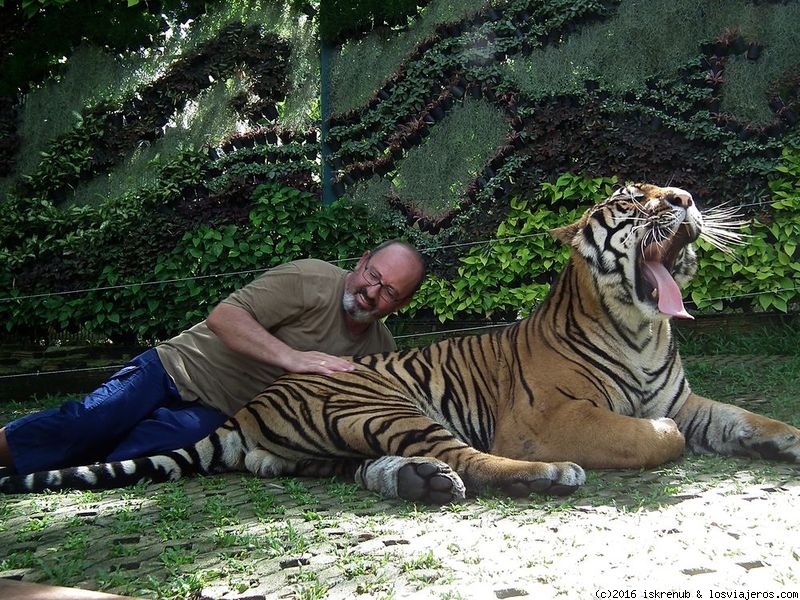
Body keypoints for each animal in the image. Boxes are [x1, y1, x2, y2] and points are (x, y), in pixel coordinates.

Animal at [2, 183, 799, 503]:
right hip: (386, 403)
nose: (687, 200)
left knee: (376, 468)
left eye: (671, 192)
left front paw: (786, 440)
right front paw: (653, 439)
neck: (640, 326)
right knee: (472, 458)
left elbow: (744, 418)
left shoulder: (687, 398)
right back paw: (544, 477)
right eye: (636, 201)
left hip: (333, 444)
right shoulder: (547, 416)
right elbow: (656, 435)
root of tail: (247, 410)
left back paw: (417, 483)